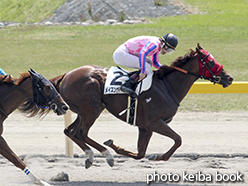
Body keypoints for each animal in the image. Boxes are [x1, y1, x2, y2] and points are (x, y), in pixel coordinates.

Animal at [50, 43, 232, 169]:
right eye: (210, 61)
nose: (229, 78)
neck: (167, 86)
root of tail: (67, 75)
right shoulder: (155, 122)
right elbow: (178, 140)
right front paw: (157, 156)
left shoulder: (145, 127)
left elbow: (140, 154)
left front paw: (119, 147)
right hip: (92, 110)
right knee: (80, 133)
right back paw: (106, 155)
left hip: (84, 111)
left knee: (70, 132)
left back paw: (91, 156)